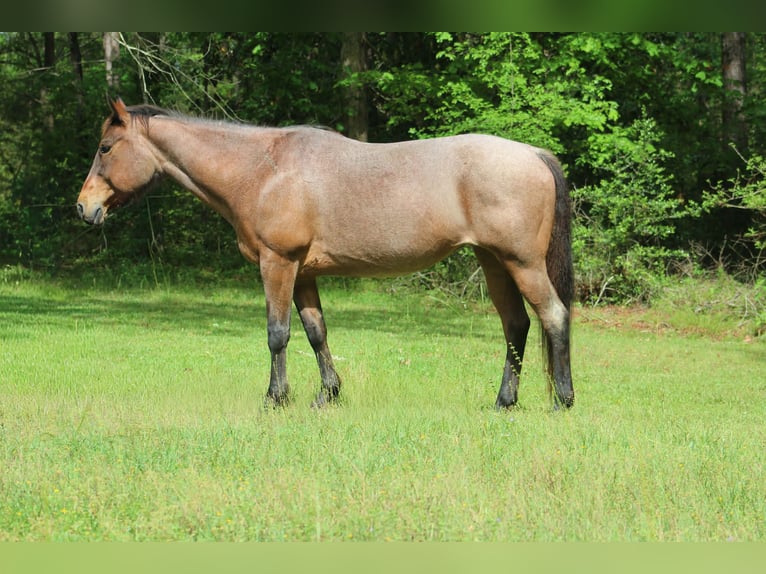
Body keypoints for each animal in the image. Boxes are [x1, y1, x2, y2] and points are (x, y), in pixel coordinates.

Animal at [77, 98, 575, 409]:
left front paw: (276, 398)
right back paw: (504, 402)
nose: (84, 207)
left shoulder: (277, 263)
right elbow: (316, 332)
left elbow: (277, 333)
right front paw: (327, 395)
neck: (262, 171)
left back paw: (562, 400)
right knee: (516, 326)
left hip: (521, 263)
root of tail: (533, 153)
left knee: (552, 315)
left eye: (105, 148)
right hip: (494, 263)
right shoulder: (304, 273)